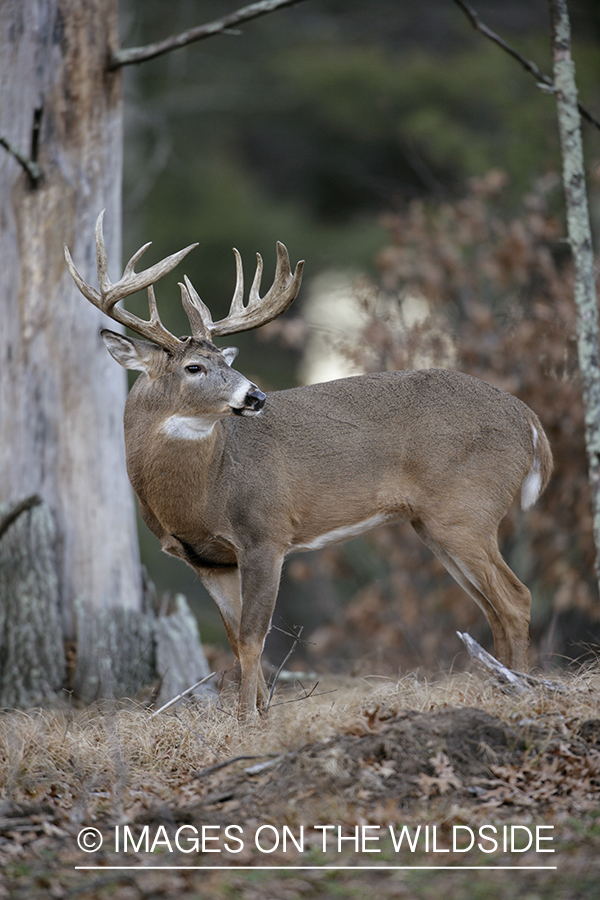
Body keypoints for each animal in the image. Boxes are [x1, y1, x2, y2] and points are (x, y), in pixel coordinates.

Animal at [64, 211, 552, 716]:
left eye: (225, 360)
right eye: (194, 367)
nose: (255, 396)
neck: (204, 491)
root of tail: (529, 419)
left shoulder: (266, 533)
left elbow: (253, 638)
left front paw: (247, 719)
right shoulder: (207, 561)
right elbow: (235, 639)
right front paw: (259, 711)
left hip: (466, 509)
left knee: (515, 598)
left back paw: (522, 691)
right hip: (434, 524)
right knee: (491, 606)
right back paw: (499, 688)